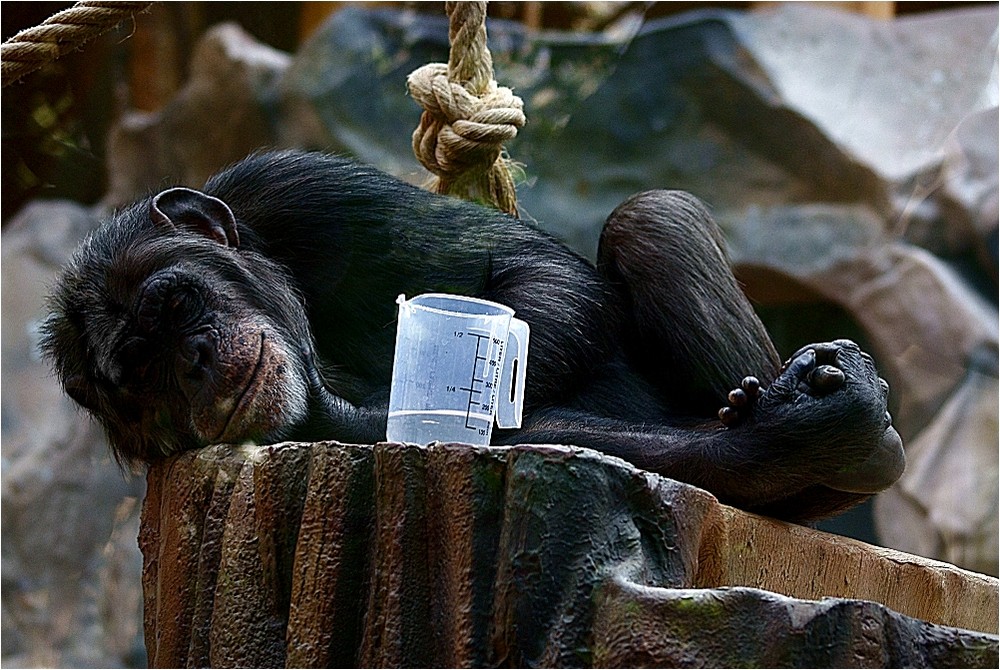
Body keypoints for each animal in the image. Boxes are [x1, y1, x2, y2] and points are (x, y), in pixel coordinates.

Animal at [41, 151, 908, 524]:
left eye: (173, 305)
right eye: (138, 375)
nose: (190, 362)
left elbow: (525, 269)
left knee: (651, 217)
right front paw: (787, 443)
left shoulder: (302, 188)